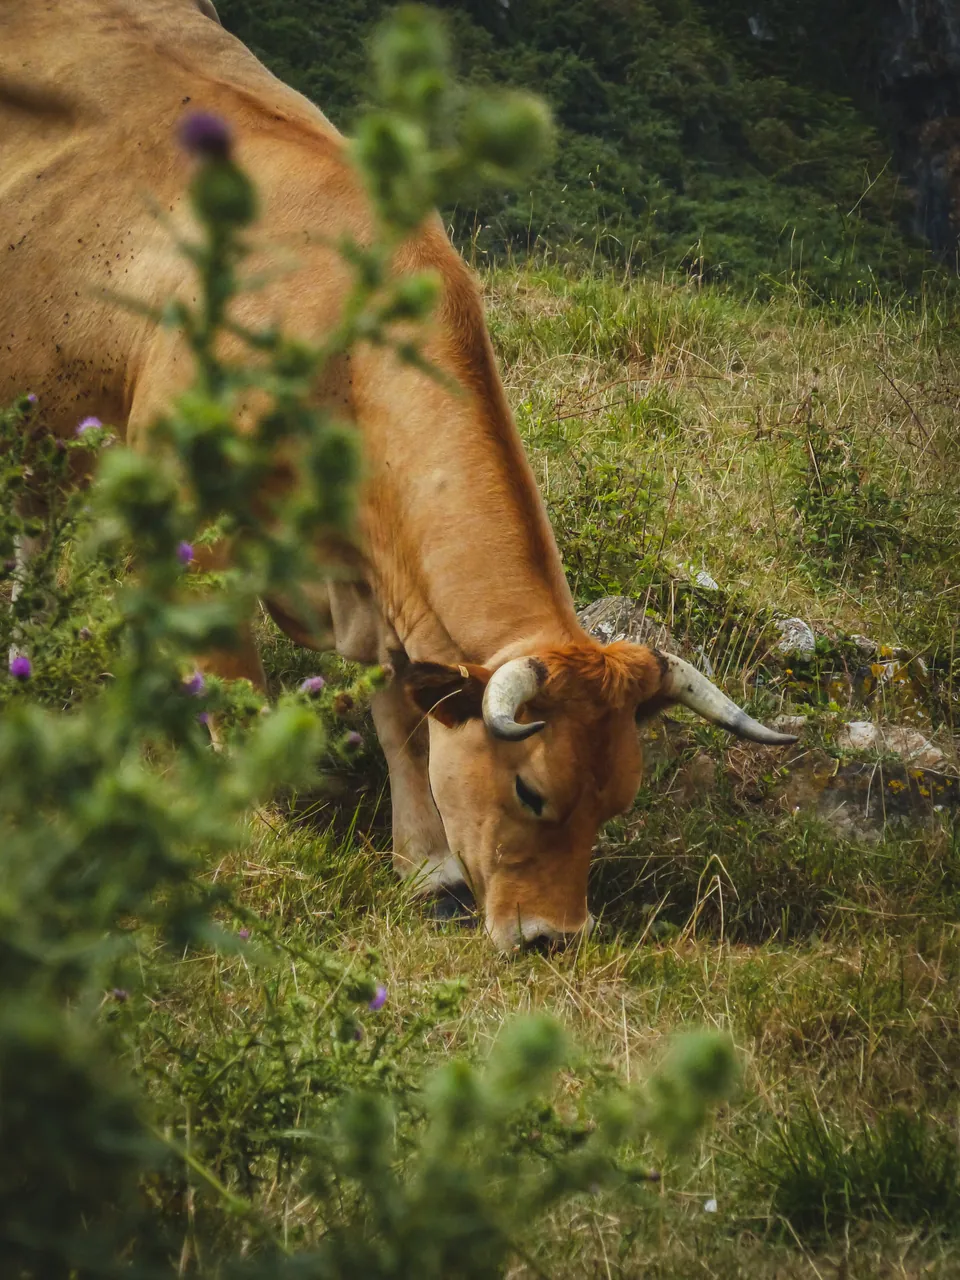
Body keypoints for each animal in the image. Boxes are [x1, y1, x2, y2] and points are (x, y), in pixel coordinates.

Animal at [0, 0, 795, 951]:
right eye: (532, 791)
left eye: (618, 801)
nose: (554, 937)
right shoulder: (196, 531)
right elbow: (233, 686)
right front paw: (247, 825)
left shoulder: (384, 595)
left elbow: (401, 724)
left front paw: (428, 869)